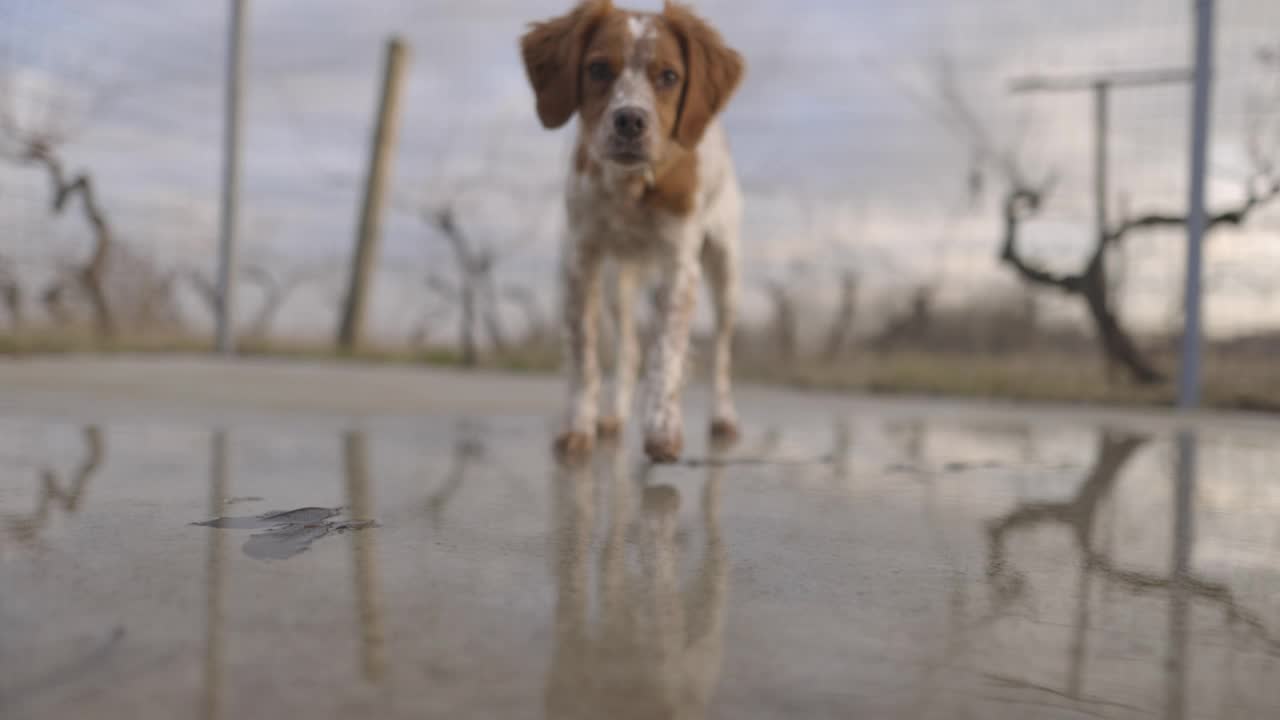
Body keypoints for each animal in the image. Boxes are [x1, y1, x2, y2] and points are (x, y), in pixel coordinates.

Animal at [517, 0, 747, 458]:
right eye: (598, 69)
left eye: (670, 76)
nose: (629, 121)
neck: (631, 188)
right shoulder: (581, 260)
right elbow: (585, 358)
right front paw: (579, 427)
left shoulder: (680, 267)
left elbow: (666, 354)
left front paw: (662, 429)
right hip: (618, 284)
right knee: (628, 349)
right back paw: (614, 417)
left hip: (724, 269)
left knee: (721, 354)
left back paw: (723, 418)